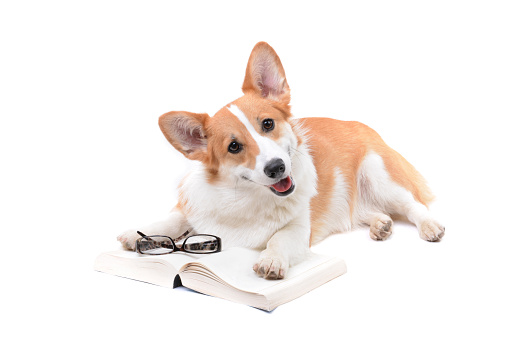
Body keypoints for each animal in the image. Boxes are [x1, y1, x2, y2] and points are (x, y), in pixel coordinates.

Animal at [117, 41, 442, 280]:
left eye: (268, 124)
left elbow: (279, 239)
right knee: (365, 212)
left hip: (378, 173)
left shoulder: (299, 229)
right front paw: (138, 234)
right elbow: (172, 218)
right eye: (233, 146)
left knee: (413, 205)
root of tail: (366, 128)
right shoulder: (194, 204)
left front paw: (271, 260)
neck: (247, 198)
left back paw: (429, 226)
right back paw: (380, 224)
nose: (277, 167)